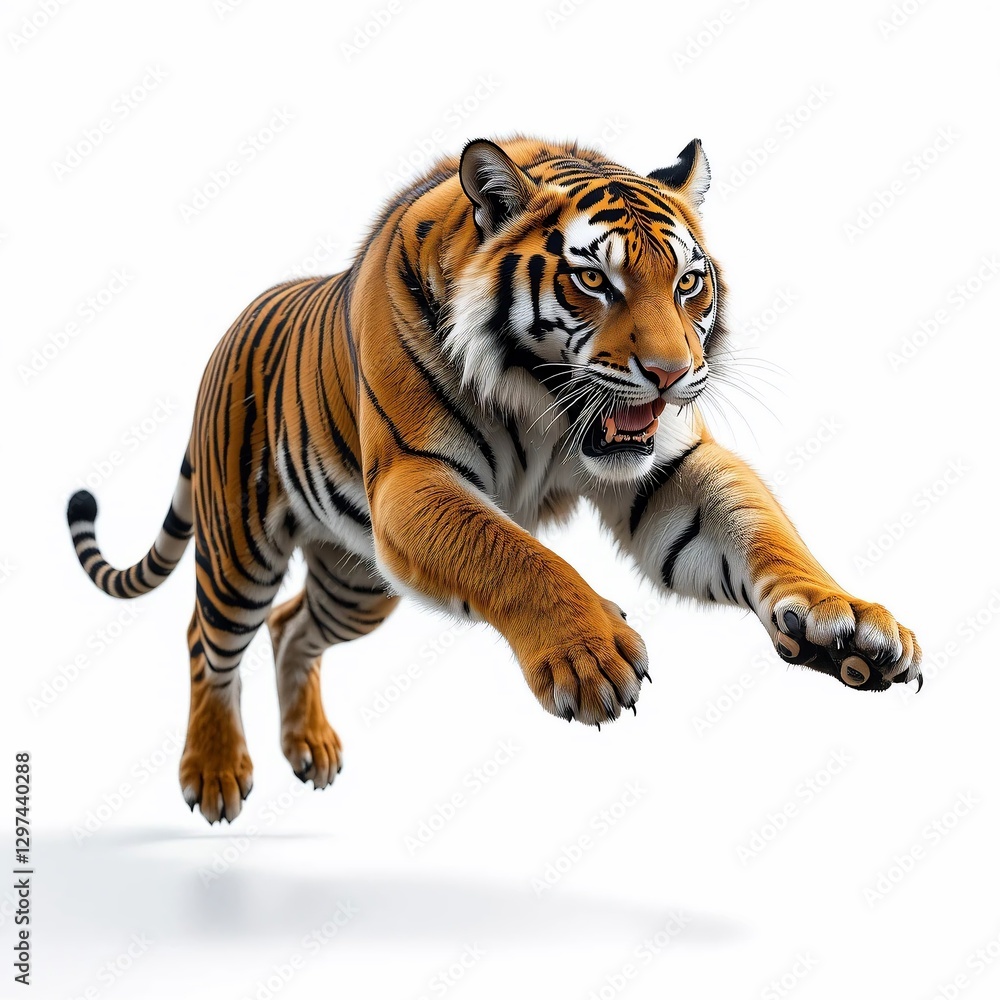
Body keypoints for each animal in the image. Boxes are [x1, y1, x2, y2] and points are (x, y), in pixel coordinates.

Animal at [66, 135, 922, 824]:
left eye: (688, 283)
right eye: (594, 282)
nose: (672, 374)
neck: (544, 407)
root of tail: (237, 320)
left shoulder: (668, 471)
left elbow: (759, 526)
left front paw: (846, 622)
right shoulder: (415, 480)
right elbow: (515, 555)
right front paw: (590, 654)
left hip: (356, 582)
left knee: (291, 626)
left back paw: (310, 747)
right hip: (241, 548)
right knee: (208, 641)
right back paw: (213, 775)